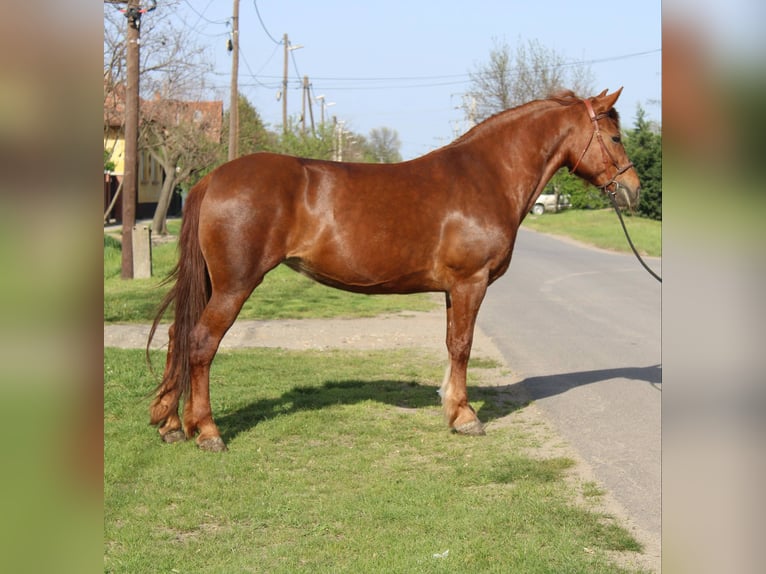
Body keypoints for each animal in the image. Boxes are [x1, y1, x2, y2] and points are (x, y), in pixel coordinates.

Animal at [147, 88, 640, 452]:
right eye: (615, 138)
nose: (634, 190)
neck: (487, 175)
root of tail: (213, 178)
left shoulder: (453, 289)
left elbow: (452, 345)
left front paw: (451, 408)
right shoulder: (471, 283)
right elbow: (463, 346)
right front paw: (466, 418)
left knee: (178, 335)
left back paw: (170, 424)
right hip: (235, 285)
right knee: (201, 342)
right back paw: (207, 432)